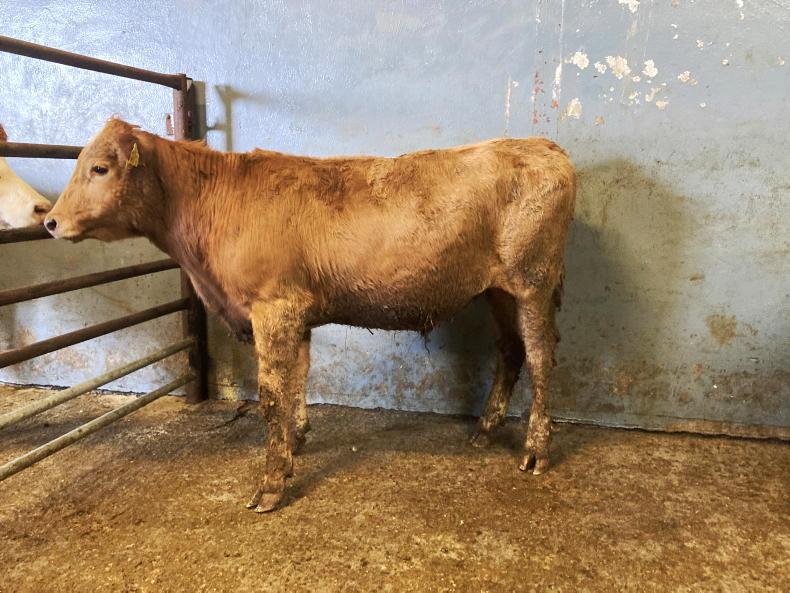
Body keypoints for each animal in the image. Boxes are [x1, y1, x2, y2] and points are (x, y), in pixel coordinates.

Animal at [45, 118, 576, 512]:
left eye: (99, 167)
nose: (50, 221)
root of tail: (544, 146)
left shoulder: (273, 307)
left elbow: (270, 395)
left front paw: (271, 483)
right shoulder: (295, 311)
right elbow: (298, 378)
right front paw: (295, 441)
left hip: (533, 282)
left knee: (541, 357)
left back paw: (536, 449)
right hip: (499, 290)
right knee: (511, 351)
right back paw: (485, 431)